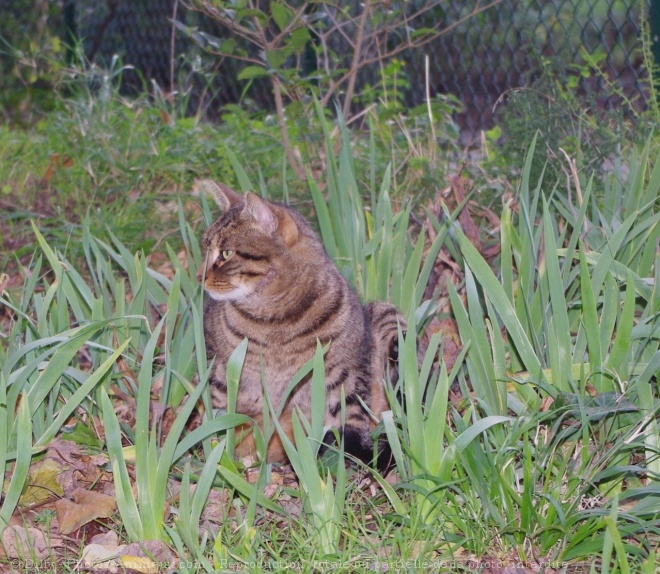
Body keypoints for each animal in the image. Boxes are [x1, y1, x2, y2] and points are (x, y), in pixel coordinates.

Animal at [196, 182, 402, 470]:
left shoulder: (346, 371)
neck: (276, 319)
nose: (198, 276)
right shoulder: (223, 370)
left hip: (390, 320)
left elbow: (352, 418)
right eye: (205, 250)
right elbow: (223, 421)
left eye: (225, 253)